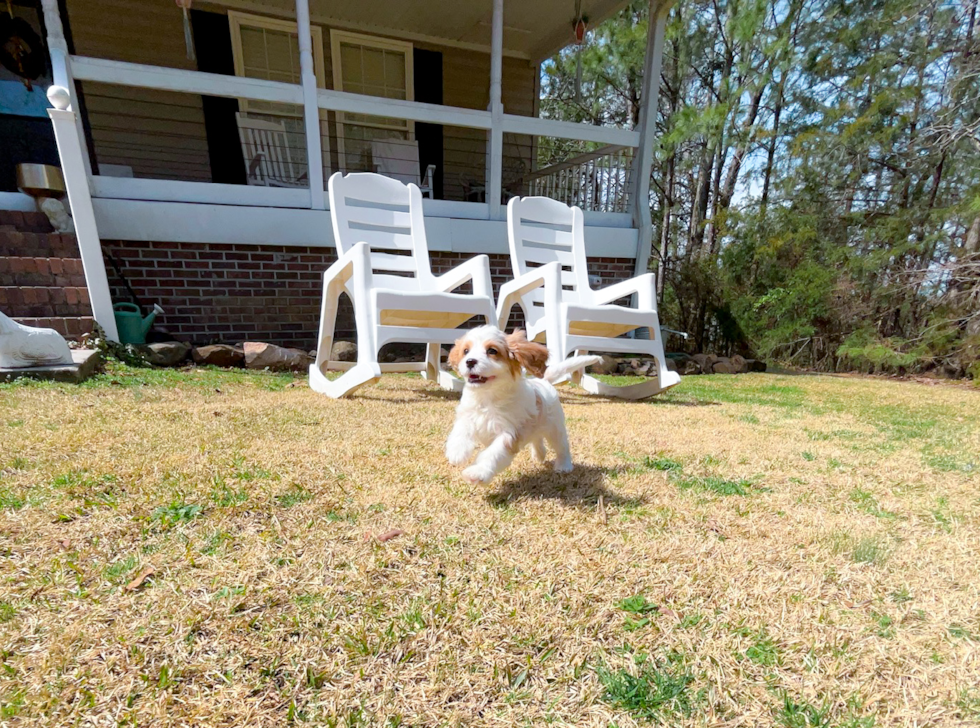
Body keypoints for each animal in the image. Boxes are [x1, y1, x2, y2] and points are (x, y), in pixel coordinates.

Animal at [442, 324, 596, 484]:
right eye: (466, 351)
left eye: (492, 351)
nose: (470, 361)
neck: (487, 396)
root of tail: (544, 381)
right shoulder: (467, 414)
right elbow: (460, 430)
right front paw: (457, 451)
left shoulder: (509, 433)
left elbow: (493, 453)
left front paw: (477, 473)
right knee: (536, 438)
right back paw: (539, 454)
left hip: (555, 427)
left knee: (562, 447)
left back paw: (564, 465)